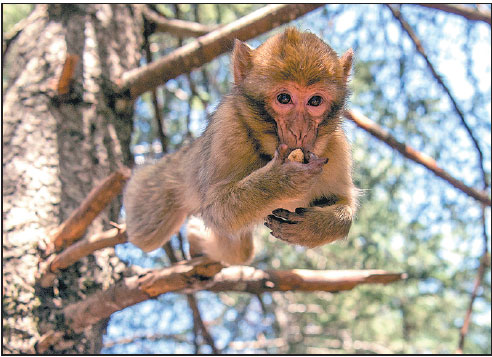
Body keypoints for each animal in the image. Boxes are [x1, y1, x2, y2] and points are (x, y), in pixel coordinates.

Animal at [124, 27, 358, 264]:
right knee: (146, 234)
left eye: (315, 101)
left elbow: (343, 203)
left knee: (239, 250)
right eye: (284, 98)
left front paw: (313, 228)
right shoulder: (229, 128)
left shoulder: (336, 148)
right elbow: (216, 209)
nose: (299, 131)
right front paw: (282, 180)